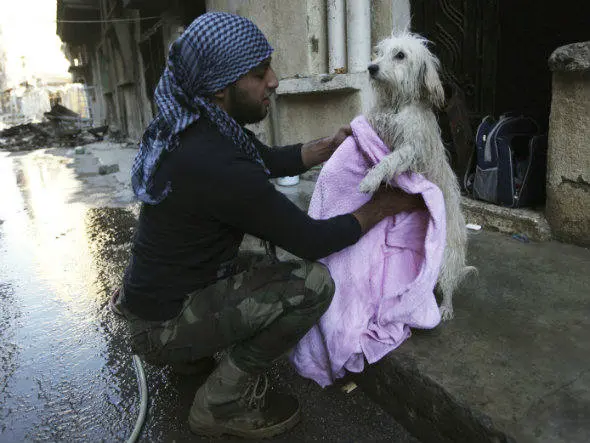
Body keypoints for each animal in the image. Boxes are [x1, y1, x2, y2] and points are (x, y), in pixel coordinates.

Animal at [360, 32, 476, 322]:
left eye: (400, 55)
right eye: (380, 52)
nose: (371, 68)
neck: (396, 105)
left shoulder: (410, 149)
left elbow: (389, 160)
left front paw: (370, 179)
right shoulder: (379, 127)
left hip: (446, 256)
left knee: (448, 284)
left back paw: (445, 308)